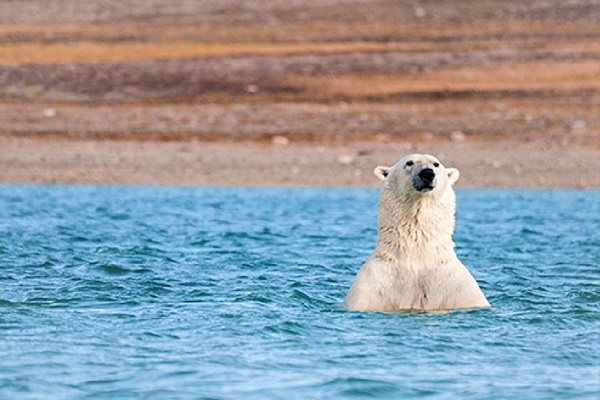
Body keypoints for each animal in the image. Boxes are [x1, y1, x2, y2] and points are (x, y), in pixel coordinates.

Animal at [344, 153, 490, 312]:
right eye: (409, 163)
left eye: (436, 164)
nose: (427, 173)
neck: (418, 259)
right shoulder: (373, 288)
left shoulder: (457, 289)